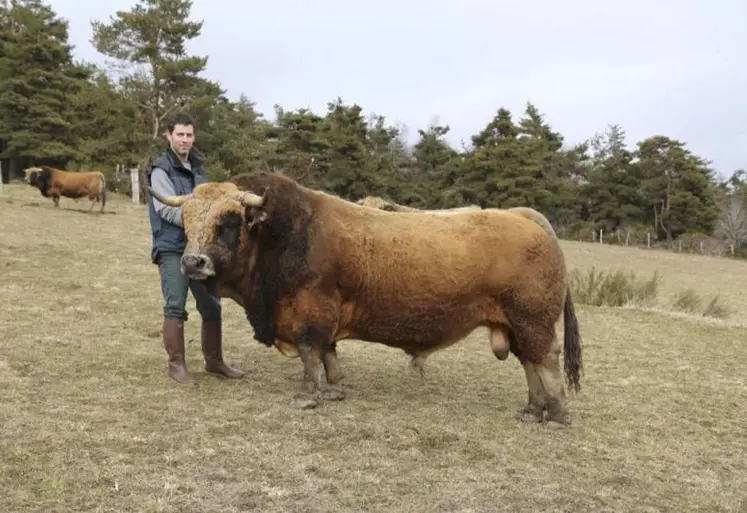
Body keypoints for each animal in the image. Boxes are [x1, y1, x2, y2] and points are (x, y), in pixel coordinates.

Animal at [149, 172, 584, 428]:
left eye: (228, 220)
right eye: (186, 220)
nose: (192, 262)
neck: (282, 234)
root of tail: (525, 217)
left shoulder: (312, 310)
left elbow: (311, 352)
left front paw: (309, 396)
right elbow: (328, 354)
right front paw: (334, 388)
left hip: (532, 321)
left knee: (545, 361)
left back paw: (557, 414)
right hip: (516, 324)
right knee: (529, 363)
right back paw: (533, 410)